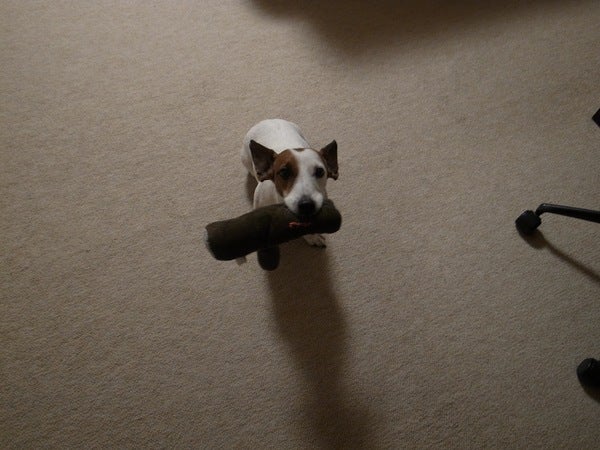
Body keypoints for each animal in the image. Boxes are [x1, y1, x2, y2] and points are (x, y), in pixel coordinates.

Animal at [241, 119, 338, 248]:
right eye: (284, 172)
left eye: (320, 172)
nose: (306, 204)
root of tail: (269, 120)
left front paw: (312, 236)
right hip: (245, 159)